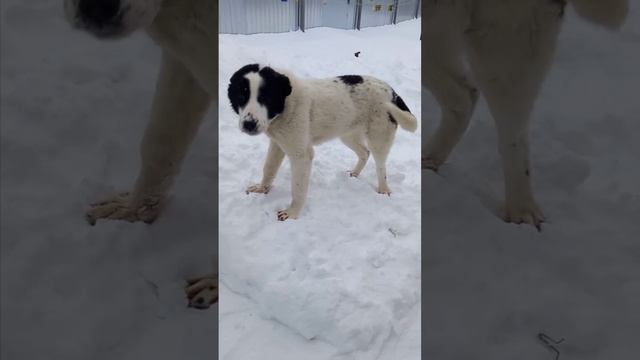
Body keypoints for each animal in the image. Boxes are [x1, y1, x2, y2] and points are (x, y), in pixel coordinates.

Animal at [228, 63, 418, 221]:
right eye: (241, 95)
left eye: (266, 97)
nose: (249, 124)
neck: (285, 105)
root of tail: (392, 92)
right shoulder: (277, 144)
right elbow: (268, 168)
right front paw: (262, 189)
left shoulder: (301, 155)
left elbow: (298, 187)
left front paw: (293, 213)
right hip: (347, 134)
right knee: (365, 152)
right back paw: (354, 174)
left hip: (379, 137)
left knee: (380, 166)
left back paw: (384, 189)